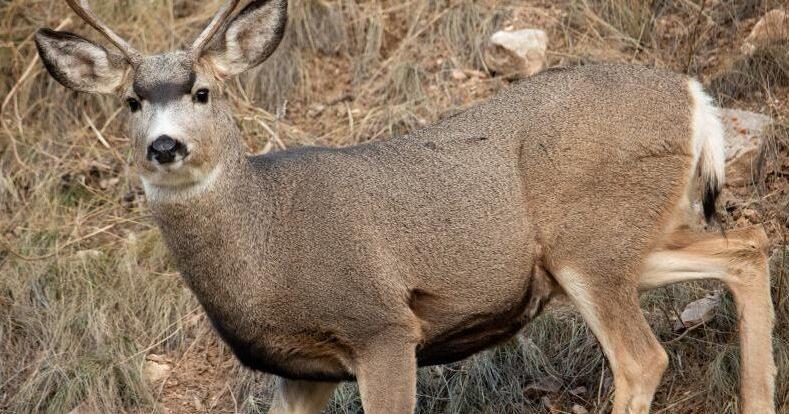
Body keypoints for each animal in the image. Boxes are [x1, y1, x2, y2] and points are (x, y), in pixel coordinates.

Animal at [34, 0, 776, 413]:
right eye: (131, 101)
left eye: (203, 92)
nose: (164, 146)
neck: (266, 240)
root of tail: (695, 97)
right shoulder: (302, 372)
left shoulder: (382, 326)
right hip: (626, 240)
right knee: (748, 248)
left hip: (590, 243)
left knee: (643, 358)